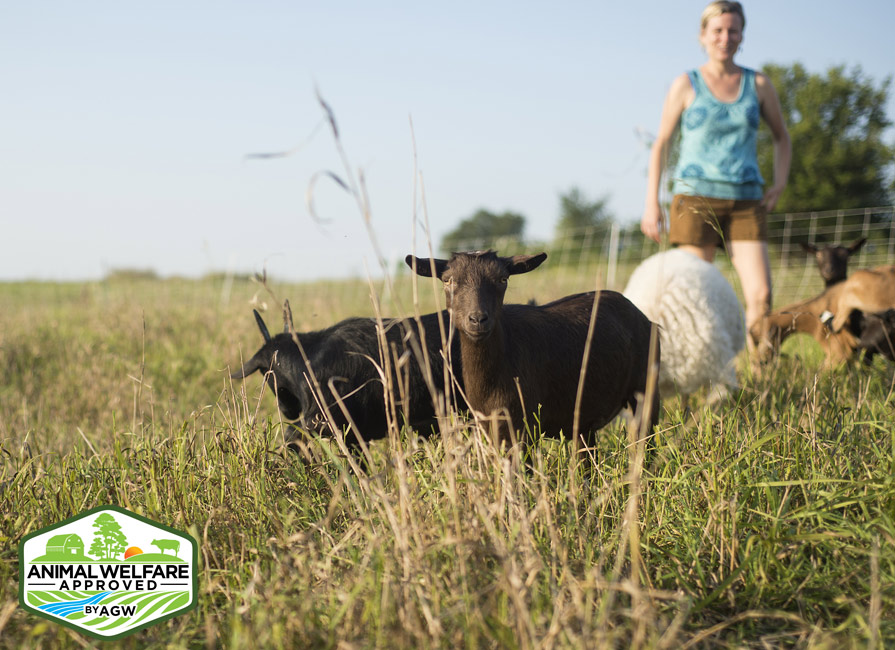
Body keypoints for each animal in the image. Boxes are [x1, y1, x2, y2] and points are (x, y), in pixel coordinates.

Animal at [406, 251, 656, 448]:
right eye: (448, 281)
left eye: (502, 279)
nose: (477, 319)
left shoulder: (524, 425)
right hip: (584, 418)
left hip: (646, 389)